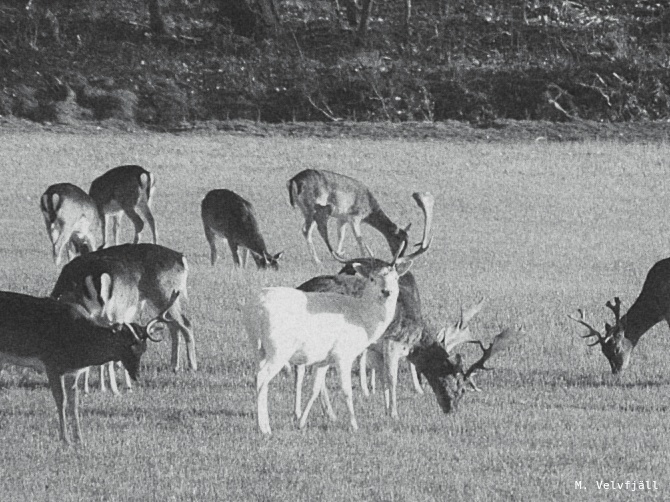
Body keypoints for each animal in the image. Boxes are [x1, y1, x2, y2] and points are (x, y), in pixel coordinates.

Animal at [0, 289, 177, 443]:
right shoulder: (51, 363)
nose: (137, 376)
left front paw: (79, 439)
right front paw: (65, 439)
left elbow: (74, 403)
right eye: (126, 346)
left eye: (144, 348)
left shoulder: (72, 371)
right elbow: (61, 400)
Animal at [51, 243, 196, 393]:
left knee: (185, 323)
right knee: (174, 326)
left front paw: (113, 387)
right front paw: (91, 387)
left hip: (164, 293)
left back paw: (192, 366)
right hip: (161, 300)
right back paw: (174, 366)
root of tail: (181, 257)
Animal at [244, 242, 415, 434]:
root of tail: (255, 310)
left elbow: (315, 387)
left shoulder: (324, 359)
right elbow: (346, 390)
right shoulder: (343, 353)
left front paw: (301, 423)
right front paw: (354, 425)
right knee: (262, 377)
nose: (386, 291)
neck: (362, 320)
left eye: (395, 277)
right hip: (279, 348)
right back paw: (265, 428)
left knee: (259, 375)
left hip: (258, 347)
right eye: (372, 278)